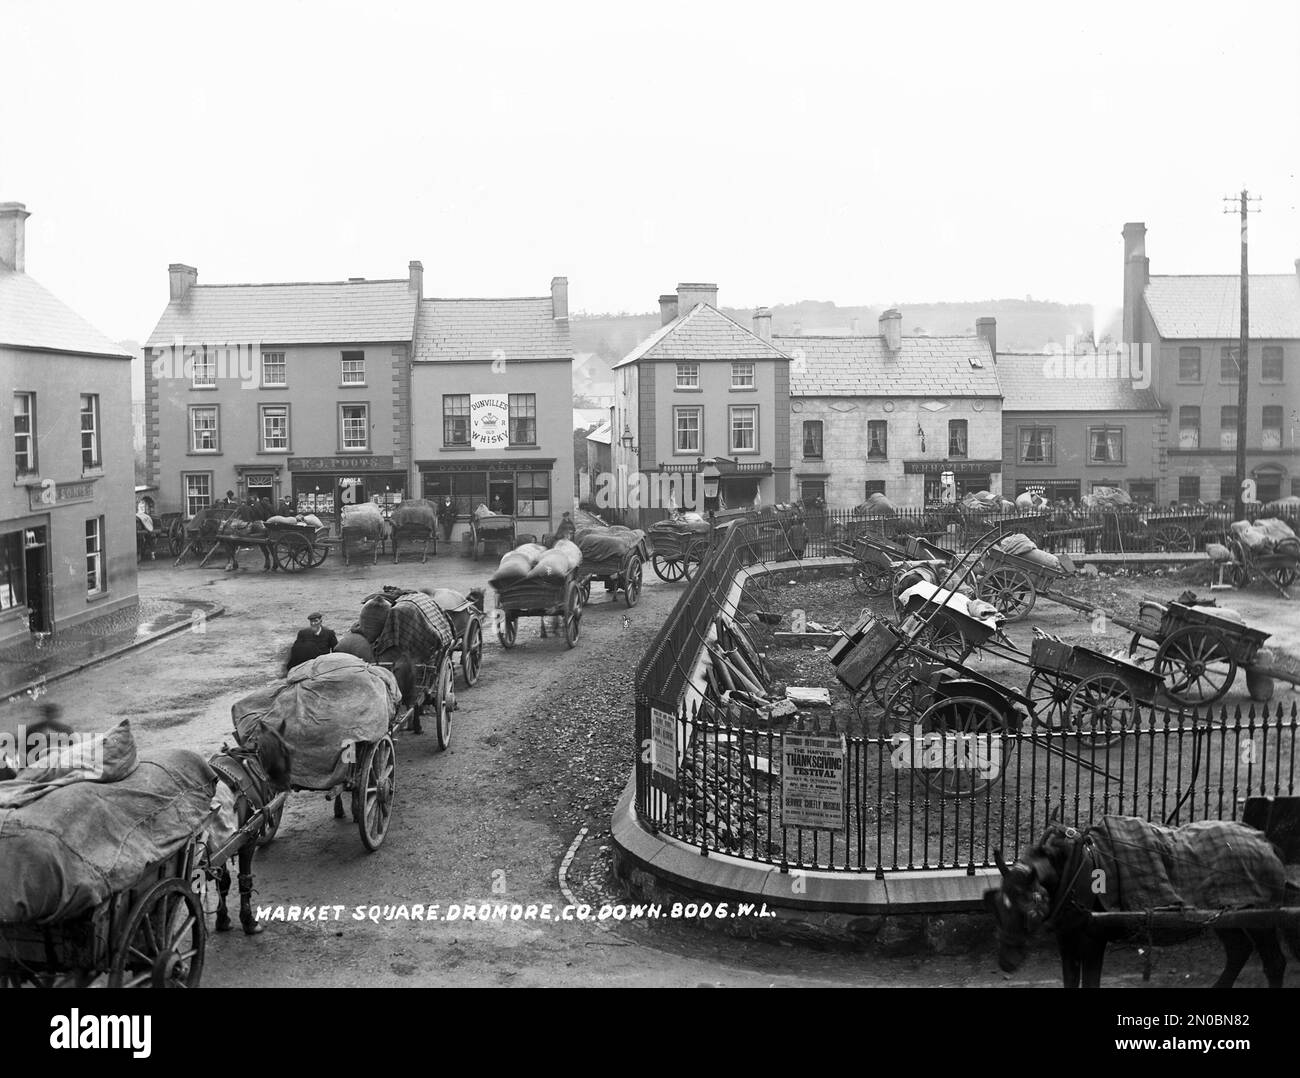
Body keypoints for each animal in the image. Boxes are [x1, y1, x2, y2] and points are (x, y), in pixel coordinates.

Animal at [202, 712, 292, 936]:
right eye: (286, 750)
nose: (286, 785)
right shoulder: (247, 839)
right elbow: (244, 879)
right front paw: (249, 921)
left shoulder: (220, 846)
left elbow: (224, 882)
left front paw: (222, 919)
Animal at [982, 821, 1300, 988]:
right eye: (998, 905)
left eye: (1031, 907)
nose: (1006, 961)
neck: (1073, 870)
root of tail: (1266, 843)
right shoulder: (1067, 938)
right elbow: (1070, 980)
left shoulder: (1093, 938)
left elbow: (1090, 981)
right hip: (1224, 915)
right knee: (1238, 950)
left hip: (1261, 919)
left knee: (1274, 961)